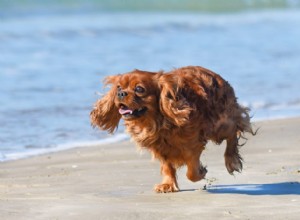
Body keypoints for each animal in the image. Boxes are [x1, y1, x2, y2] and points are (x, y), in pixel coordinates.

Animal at [90, 65, 254, 192]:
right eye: (118, 87)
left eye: (139, 89)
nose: (121, 93)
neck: (155, 122)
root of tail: (215, 75)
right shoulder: (160, 148)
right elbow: (167, 166)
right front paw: (168, 185)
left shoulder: (192, 145)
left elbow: (191, 172)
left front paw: (201, 172)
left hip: (220, 125)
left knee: (234, 131)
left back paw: (231, 160)